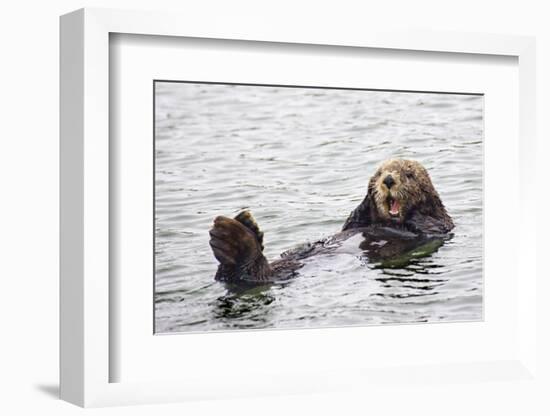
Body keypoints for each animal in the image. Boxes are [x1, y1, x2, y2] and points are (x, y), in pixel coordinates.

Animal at [209, 158, 454, 282]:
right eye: (380, 172)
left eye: (409, 175)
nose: (388, 179)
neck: (389, 222)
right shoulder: (357, 222)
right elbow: (353, 220)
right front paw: (368, 196)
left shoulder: (441, 224)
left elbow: (431, 224)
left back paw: (237, 240)